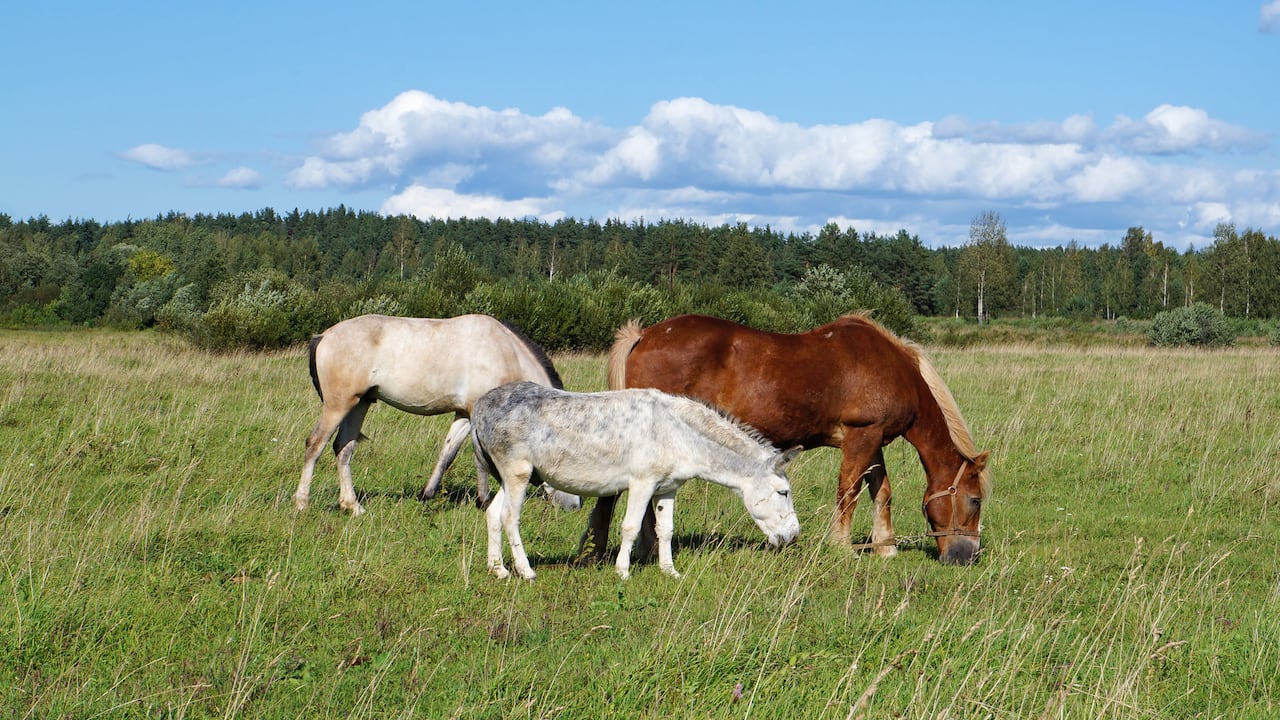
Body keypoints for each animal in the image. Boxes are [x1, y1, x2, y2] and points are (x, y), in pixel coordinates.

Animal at [294, 314, 580, 515]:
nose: (575, 505)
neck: (505, 351)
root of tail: (324, 336)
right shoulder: (477, 412)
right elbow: (479, 459)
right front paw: (484, 501)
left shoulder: (464, 414)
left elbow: (447, 453)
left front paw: (427, 494)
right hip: (338, 405)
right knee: (315, 444)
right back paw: (302, 503)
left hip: (360, 403)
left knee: (343, 448)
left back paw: (352, 505)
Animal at [471, 381, 802, 580]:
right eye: (783, 492)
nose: (794, 536)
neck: (678, 434)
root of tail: (481, 405)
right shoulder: (642, 483)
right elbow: (630, 527)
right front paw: (623, 572)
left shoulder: (667, 489)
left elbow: (665, 530)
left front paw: (669, 571)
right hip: (518, 473)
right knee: (509, 517)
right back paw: (525, 571)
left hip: (508, 477)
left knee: (492, 515)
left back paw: (498, 570)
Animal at [590, 313, 990, 565]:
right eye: (974, 500)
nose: (967, 556)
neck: (896, 369)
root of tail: (644, 335)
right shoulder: (861, 436)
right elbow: (848, 491)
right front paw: (843, 548)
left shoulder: (873, 440)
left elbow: (882, 493)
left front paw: (885, 548)